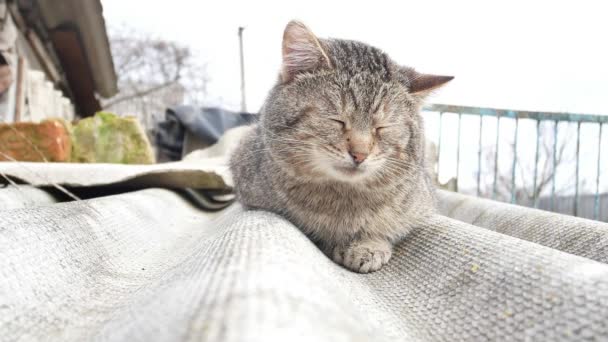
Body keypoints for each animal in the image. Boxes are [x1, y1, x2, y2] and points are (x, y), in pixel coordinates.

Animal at [230, 20, 454, 272]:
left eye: (381, 127)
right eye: (336, 120)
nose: (359, 154)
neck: (344, 200)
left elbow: (386, 229)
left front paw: (368, 245)